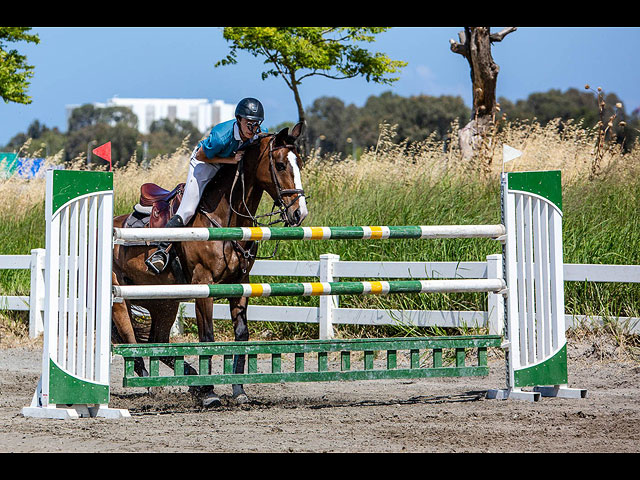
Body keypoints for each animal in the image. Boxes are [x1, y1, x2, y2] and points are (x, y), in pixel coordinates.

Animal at [111, 123, 308, 404]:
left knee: (158, 342)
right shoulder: (204, 285)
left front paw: (238, 390)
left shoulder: (240, 284)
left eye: (299, 163)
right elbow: (208, 337)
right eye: (280, 165)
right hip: (119, 300)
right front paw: (210, 392)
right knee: (131, 342)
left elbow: (241, 336)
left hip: (164, 301)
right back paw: (157, 386)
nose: (299, 213)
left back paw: (188, 379)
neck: (226, 217)